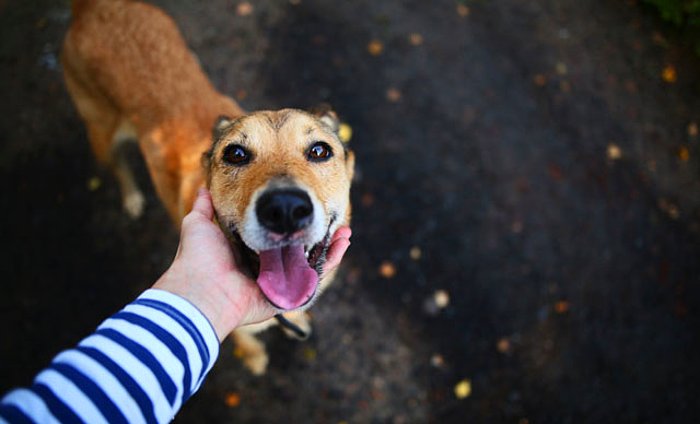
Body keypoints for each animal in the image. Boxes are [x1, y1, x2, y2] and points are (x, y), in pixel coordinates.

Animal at [60, 0, 356, 374]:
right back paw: (131, 197)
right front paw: (255, 358)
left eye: (319, 151)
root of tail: (92, 7)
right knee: (117, 165)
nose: (285, 209)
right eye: (236, 154)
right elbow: (245, 342)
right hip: (100, 132)